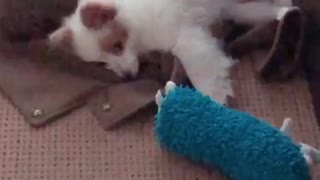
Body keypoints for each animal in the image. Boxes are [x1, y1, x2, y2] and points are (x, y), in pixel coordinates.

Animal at [48, 0, 292, 104]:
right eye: (101, 63)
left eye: (117, 45)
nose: (128, 77)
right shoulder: (221, 13)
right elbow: (253, 11)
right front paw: (284, 12)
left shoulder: (185, 38)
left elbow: (202, 75)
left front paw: (215, 105)